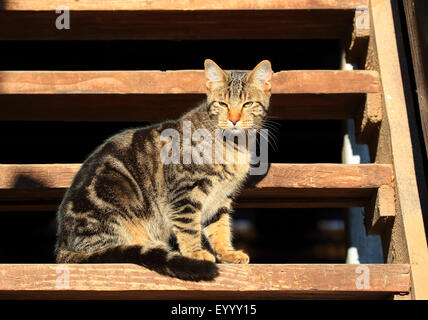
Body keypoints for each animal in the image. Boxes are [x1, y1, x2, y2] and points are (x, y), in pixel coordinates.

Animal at [55, 58, 272, 282]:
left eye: (248, 104)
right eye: (223, 104)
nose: (234, 119)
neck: (234, 146)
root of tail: (62, 245)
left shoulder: (221, 198)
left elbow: (220, 228)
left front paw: (227, 252)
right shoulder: (184, 192)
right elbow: (189, 227)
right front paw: (195, 253)